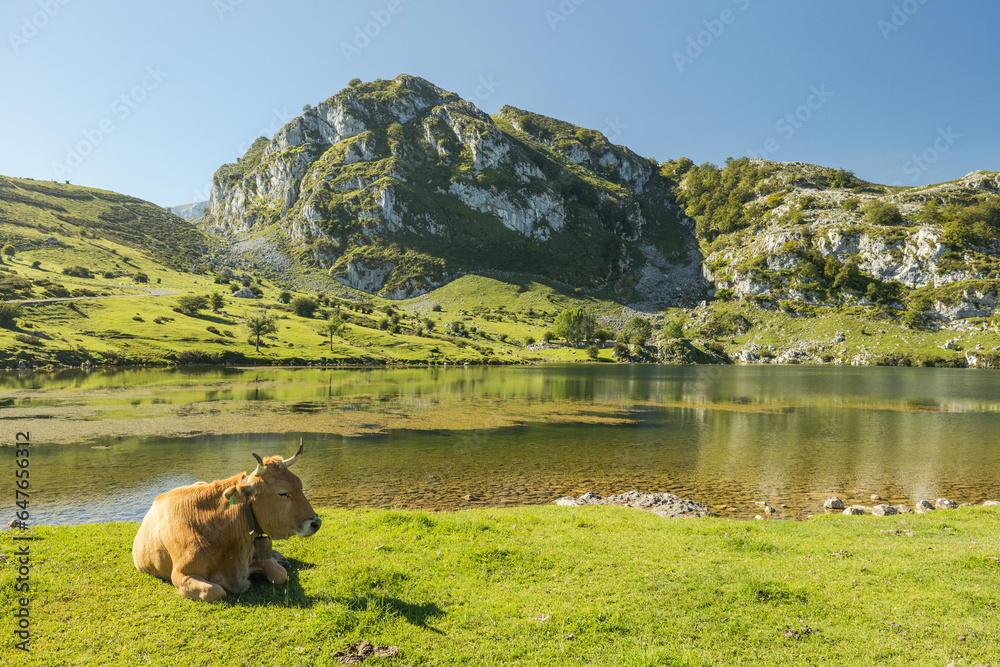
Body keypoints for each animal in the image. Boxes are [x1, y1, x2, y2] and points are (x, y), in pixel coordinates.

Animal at [132, 444, 320, 604]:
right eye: (282, 493)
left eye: (300, 485)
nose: (316, 522)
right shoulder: (181, 575)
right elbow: (215, 591)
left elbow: (281, 574)